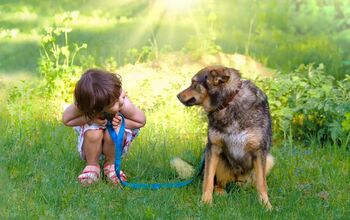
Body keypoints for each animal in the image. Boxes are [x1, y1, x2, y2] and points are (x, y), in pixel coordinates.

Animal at [178, 65, 274, 210]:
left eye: (194, 83)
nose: (177, 95)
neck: (229, 103)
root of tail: (237, 181)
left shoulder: (259, 152)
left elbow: (262, 184)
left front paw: (266, 205)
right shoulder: (213, 148)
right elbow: (208, 181)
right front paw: (206, 202)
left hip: (269, 160)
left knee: (254, 183)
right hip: (218, 160)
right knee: (218, 183)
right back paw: (220, 192)